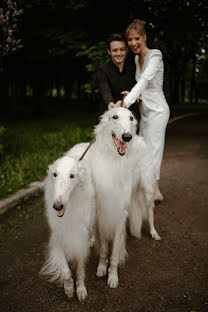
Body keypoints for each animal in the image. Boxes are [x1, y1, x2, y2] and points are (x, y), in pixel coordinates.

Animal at [40, 145, 95, 302]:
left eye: (72, 176)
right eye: (55, 174)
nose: (57, 206)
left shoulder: (80, 239)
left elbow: (80, 271)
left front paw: (81, 290)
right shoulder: (58, 238)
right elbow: (66, 271)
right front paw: (69, 289)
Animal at [83, 106, 160, 288]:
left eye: (131, 118)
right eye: (115, 117)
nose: (127, 136)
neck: (114, 160)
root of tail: (140, 139)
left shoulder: (119, 215)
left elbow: (114, 254)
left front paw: (112, 277)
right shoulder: (102, 211)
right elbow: (104, 248)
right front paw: (101, 268)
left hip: (147, 189)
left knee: (150, 212)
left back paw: (154, 233)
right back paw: (92, 240)